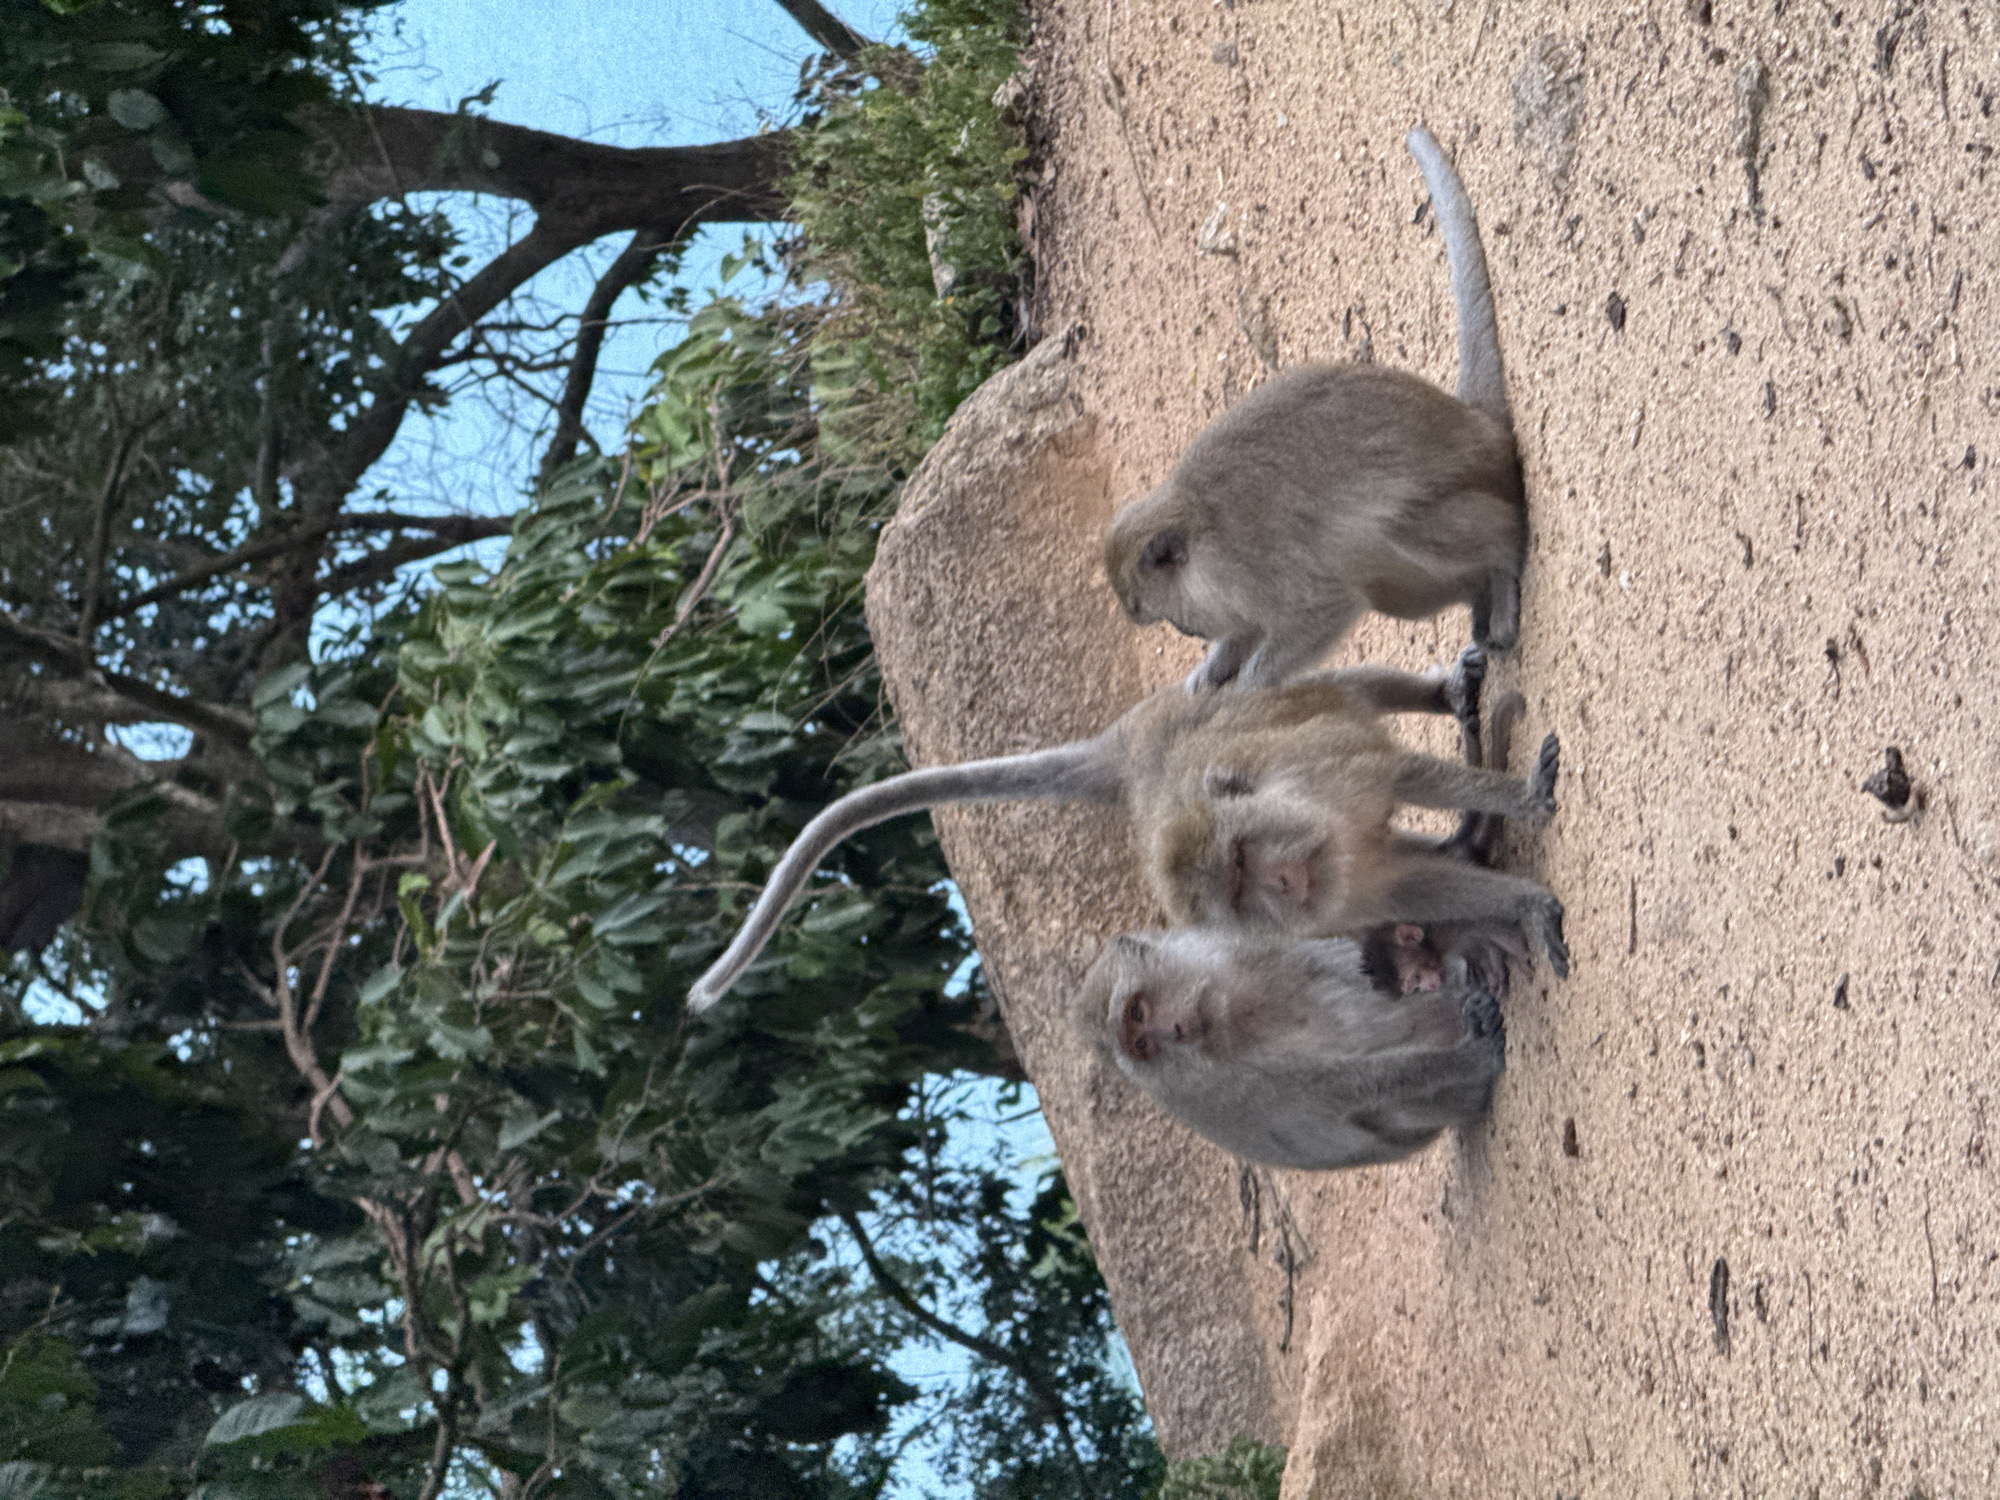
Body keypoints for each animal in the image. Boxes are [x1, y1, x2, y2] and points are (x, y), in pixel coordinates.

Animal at [687, 652, 1566, 1011]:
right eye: (1239, 889)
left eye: (1242, 855)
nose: (1285, 883)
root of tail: (1126, 749)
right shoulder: (1338, 898)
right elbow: (1409, 884)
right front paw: (1519, 902)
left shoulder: (1323, 778)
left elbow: (1394, 774)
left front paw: (1520, 797)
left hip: (1210, 692)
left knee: (1322, 690)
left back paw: (1442, 696)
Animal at [1072, 925, 1506, 1171]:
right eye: (1141, 1043)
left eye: (1137, 1011)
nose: (1173, 1031)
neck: (1229, 1018)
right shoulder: (1214, 1091)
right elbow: (1337, 1093)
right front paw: (1475, 1058)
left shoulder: (1240, 945)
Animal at [1103, 125, 1524, 691]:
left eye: (1165, 613)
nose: (1187, 630)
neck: (1196, 524)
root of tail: (1478, 423)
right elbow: (1249, 627)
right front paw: (1210, 673)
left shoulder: (1249, 565)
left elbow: (1323, 608)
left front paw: (1244, 694)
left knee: (1403, 530)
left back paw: (1501, 569)